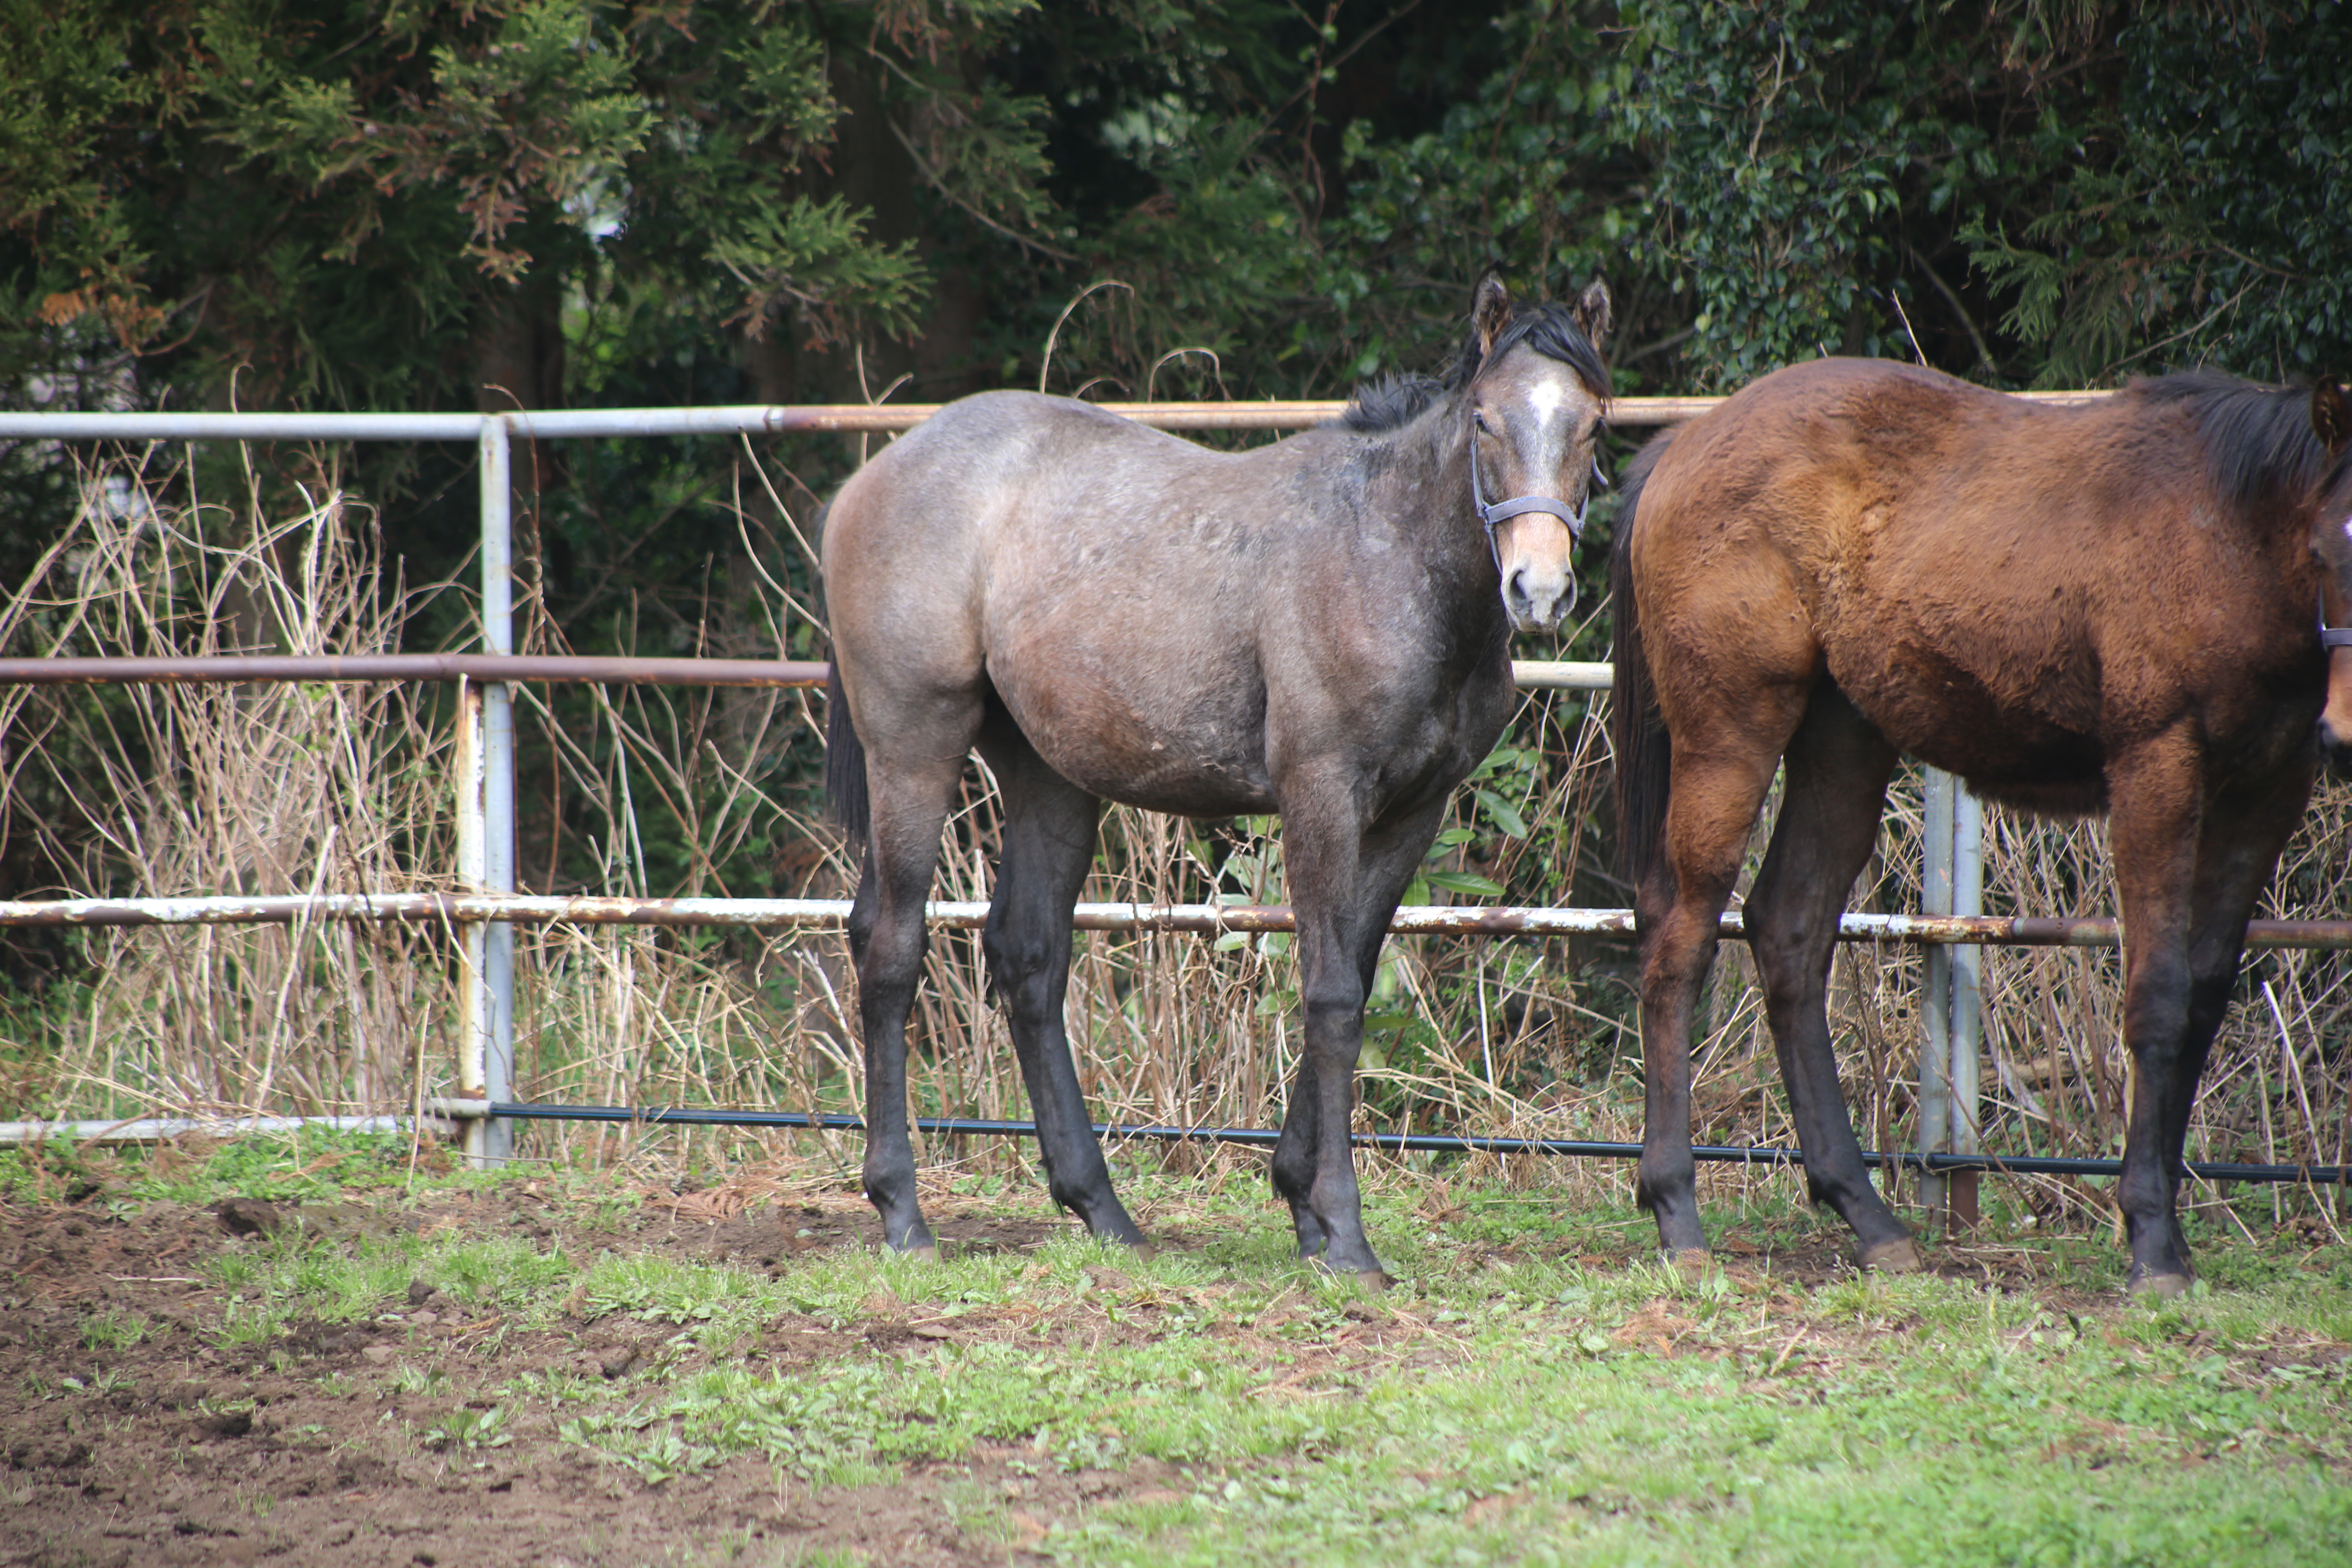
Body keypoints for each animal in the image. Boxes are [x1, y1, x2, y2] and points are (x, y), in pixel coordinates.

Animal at [828, 278, 1618, 1288]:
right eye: (1484, 418)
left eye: (1592, 423)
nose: (1539, 590)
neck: (1387, 554)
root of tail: (877, 474)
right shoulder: (1322, 795)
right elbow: (1330, 996)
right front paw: (1344, 1235)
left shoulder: (1411, 813)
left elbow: (1355, 978)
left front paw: (1303, 1207)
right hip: (913, 747)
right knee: (891, 947)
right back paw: (903, 1212)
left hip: (1050, 777)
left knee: (1029, 957)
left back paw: (1103, 1210)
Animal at [1608, 362, 2352, 1297]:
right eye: (2328, 550)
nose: (2347, 736)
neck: (2229, 524)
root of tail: (1683, 444)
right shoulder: (2157, 767)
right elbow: (2158, 996)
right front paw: (2150, 1241)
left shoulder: (2266, 792)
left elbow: (2205, 1000)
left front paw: (2172, 1236)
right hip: (1731, 733)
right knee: (1680, 939)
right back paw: (1678, 1212)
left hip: (1843, 740)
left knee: (1789, 930)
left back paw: (1869, 1216)